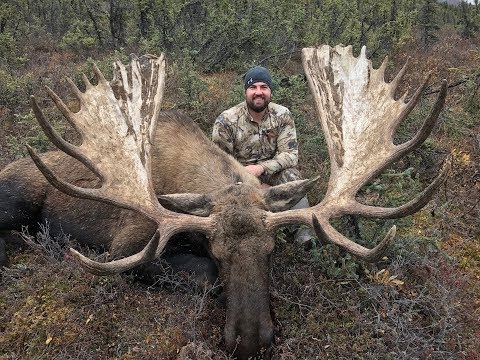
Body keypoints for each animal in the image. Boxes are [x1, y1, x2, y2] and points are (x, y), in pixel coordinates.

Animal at [1, 45, 448, 360]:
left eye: (271, 251)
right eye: (216, 251)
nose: (250, 343)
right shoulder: (125, 246)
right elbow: (204, 276)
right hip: (17, 195)